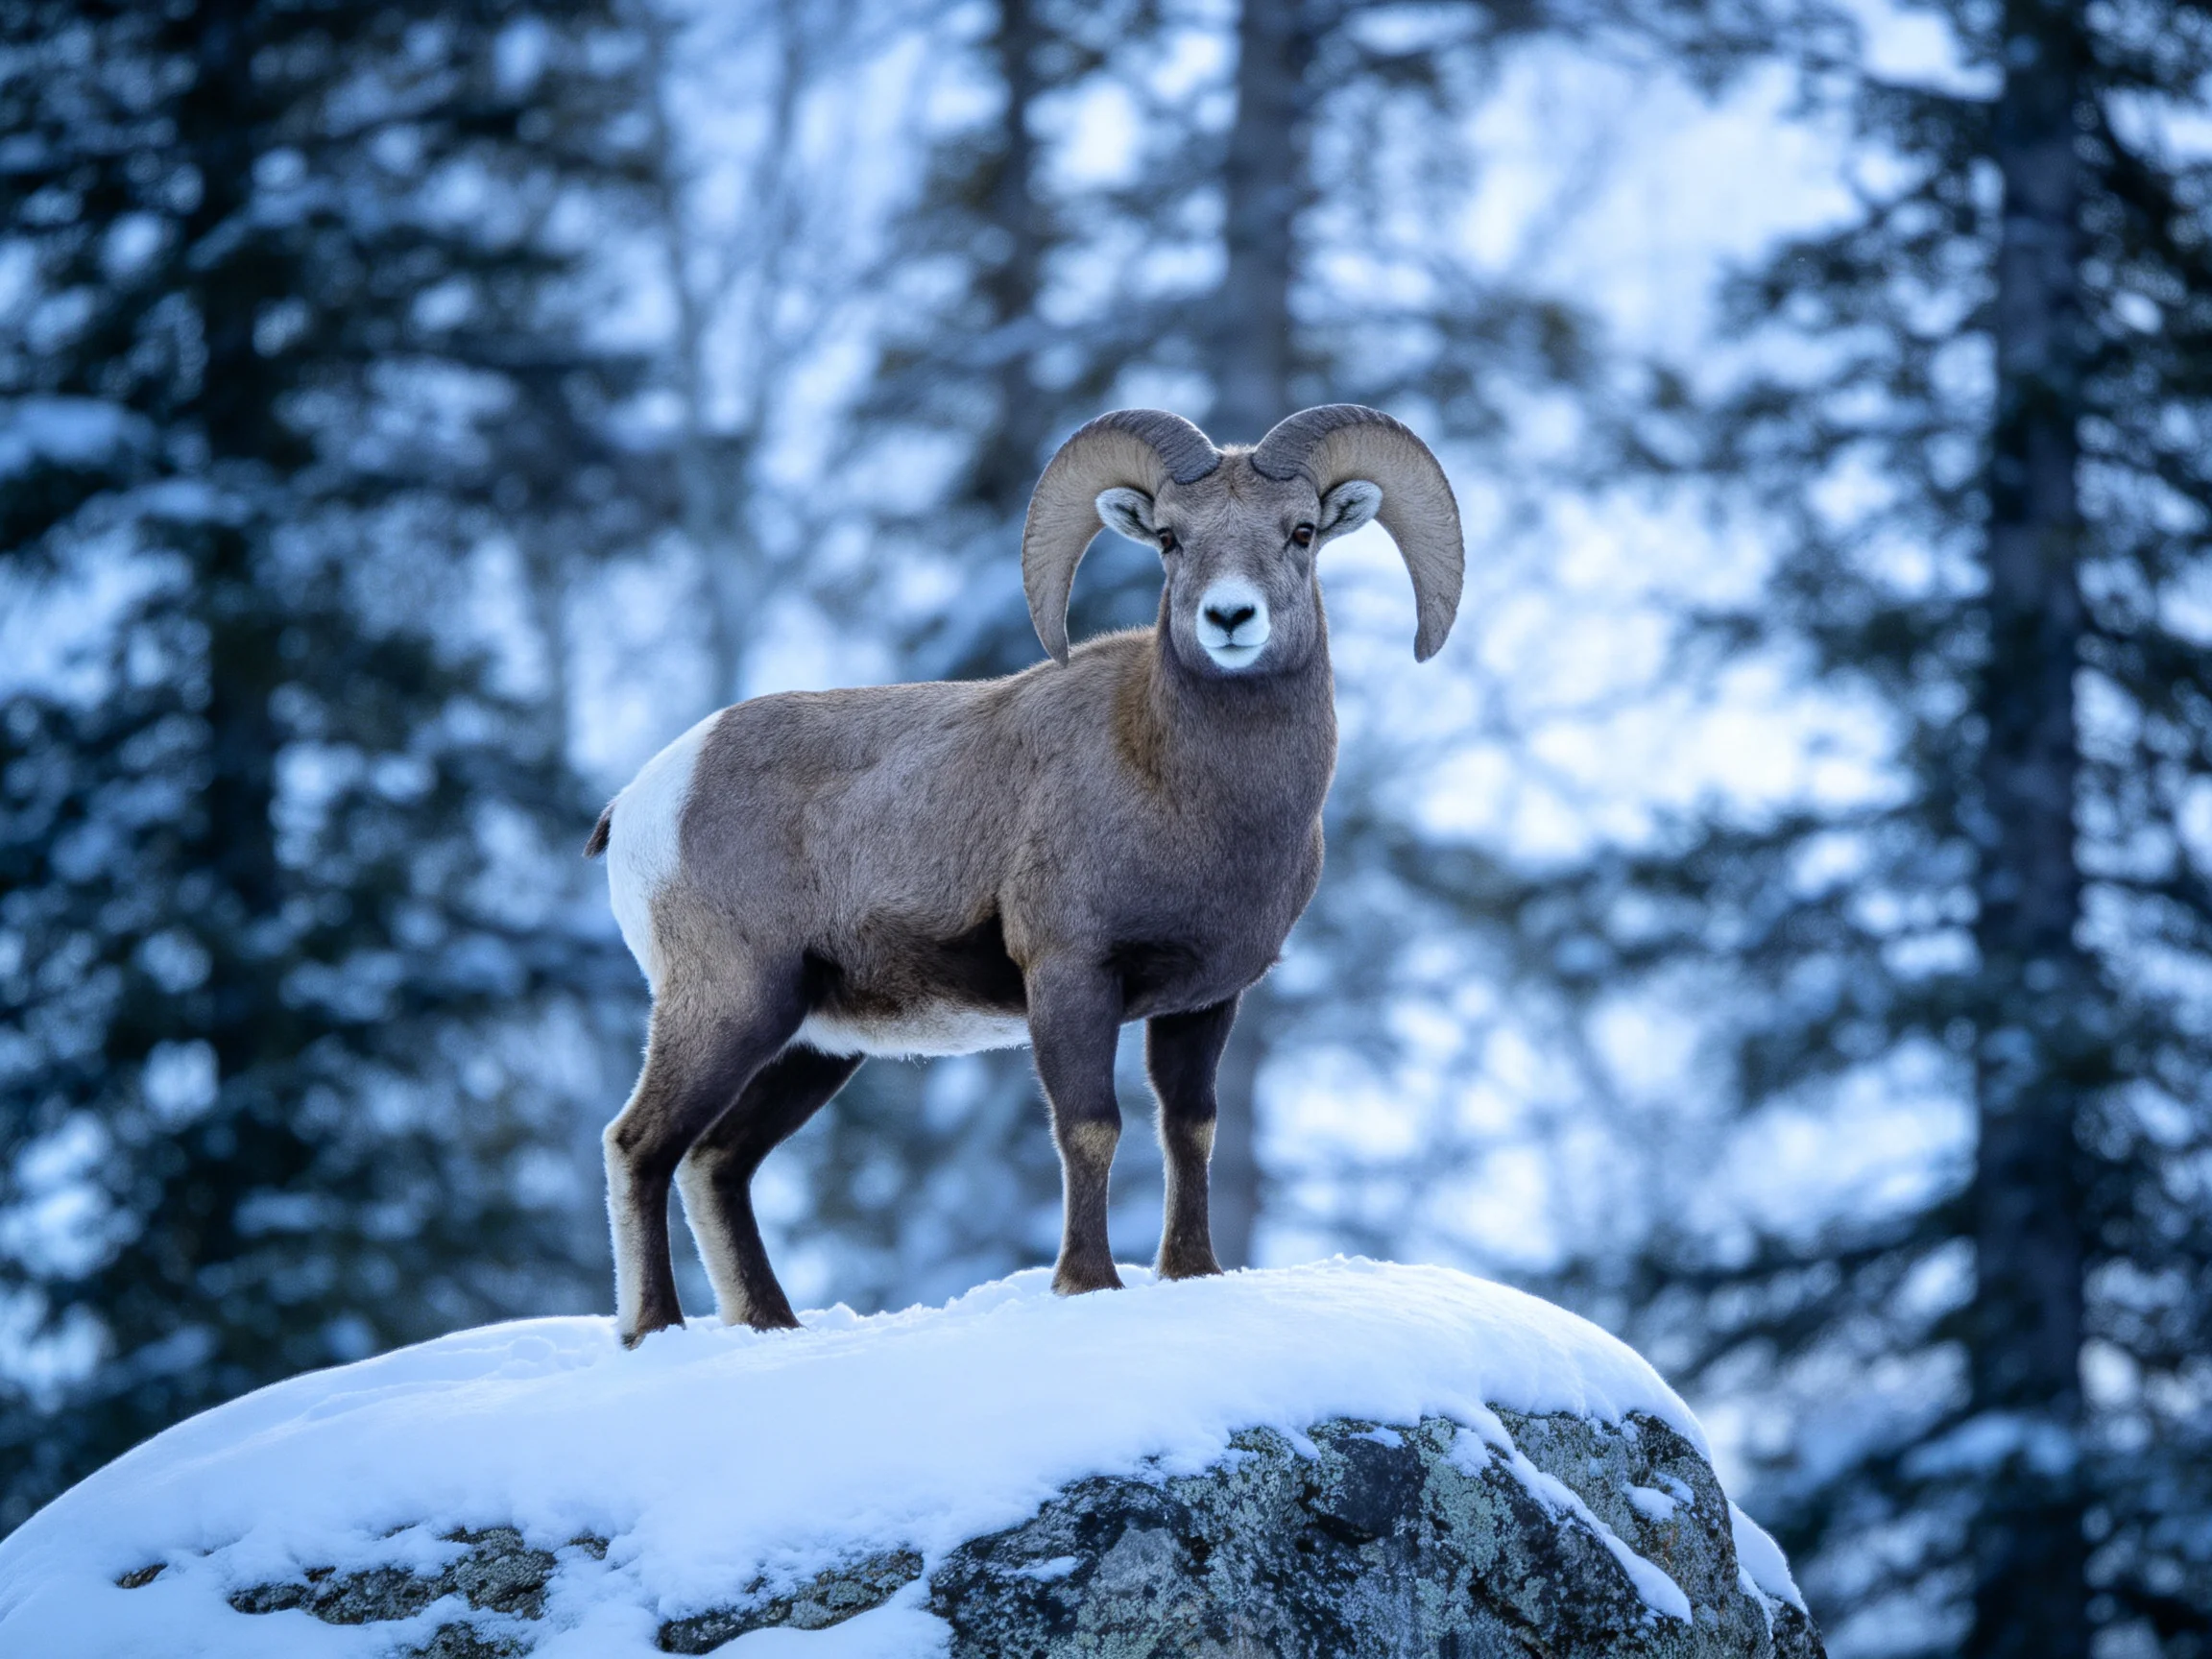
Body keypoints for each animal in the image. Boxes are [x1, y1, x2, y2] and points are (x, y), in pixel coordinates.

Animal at [586, 403, 1464, 1344]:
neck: (1188, 792)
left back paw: (772, 1326)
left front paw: (1192, 1272)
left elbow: (1189, 1129)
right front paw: (1087, 1284)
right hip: (729, 1007)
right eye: (1170, 538)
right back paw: (654, 1331)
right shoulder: (1071, 977)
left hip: (812, 1044)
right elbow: (1090, 1128)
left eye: (1300, 533)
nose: (1230, 617)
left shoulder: (1204, 1002)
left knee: (717, 1162)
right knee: (640, 1145)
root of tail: (643, 799)